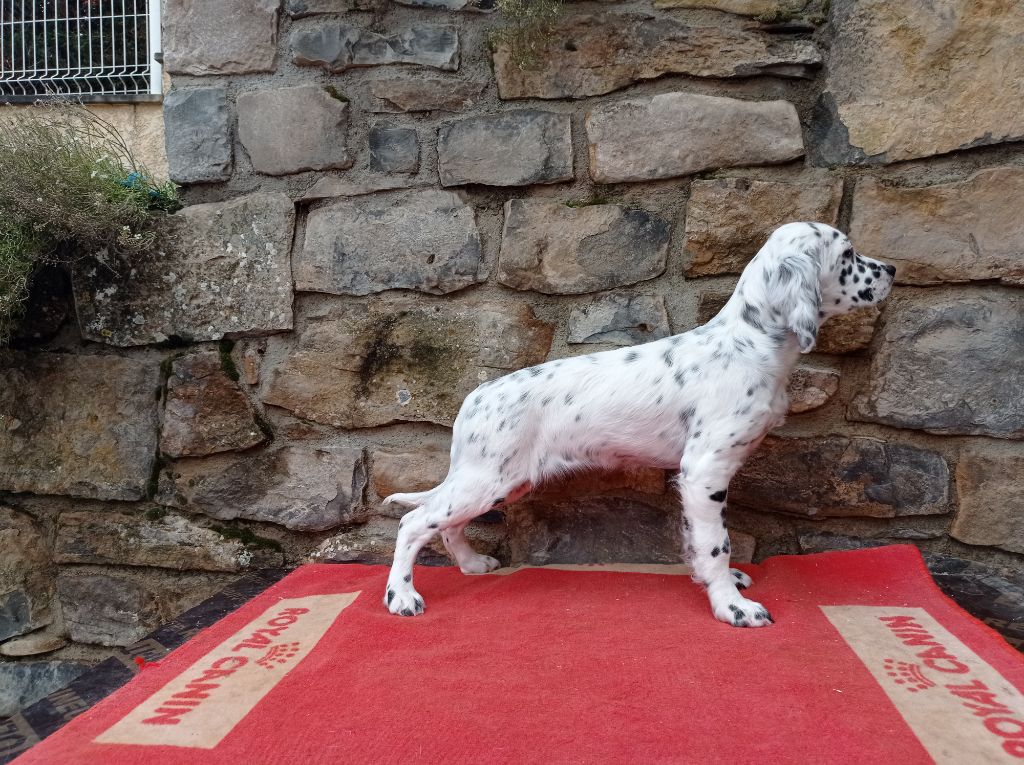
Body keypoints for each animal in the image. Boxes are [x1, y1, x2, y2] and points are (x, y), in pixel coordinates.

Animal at [385, 221, 897, 626]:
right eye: (848, 256)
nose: (891, 270)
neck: (750, 344)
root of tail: (475, 398)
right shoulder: (705, 470)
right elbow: (718, 542)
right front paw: (731, 605)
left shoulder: (695, 479)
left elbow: (698, 540)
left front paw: (714, 582)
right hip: (488, 478)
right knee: (414, 522)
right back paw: (402, 596)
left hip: (500, 481)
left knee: (445, 524)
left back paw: (472, 565)